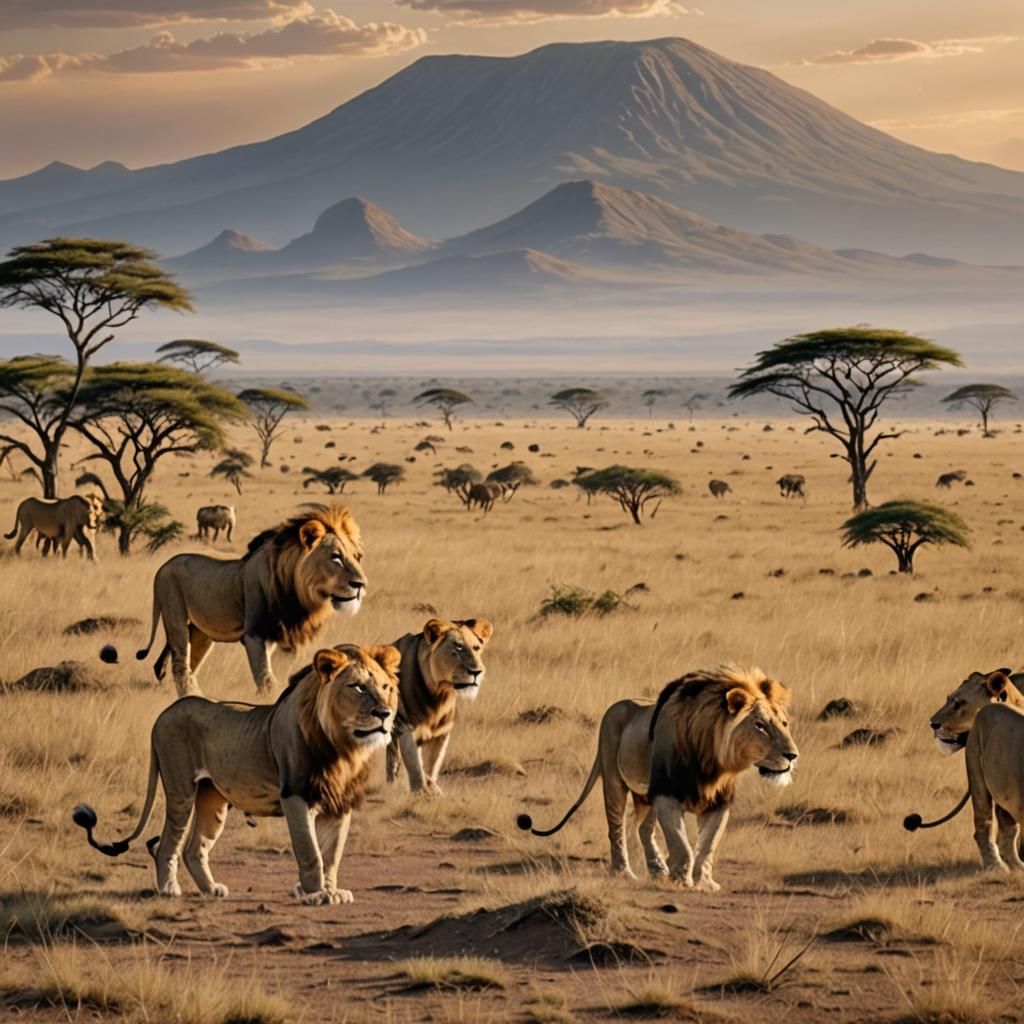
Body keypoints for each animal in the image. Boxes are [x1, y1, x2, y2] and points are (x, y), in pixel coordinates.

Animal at [73, 643, 399, 904]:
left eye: (385, 688)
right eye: (358, 687)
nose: (384, 714)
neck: (344, 748)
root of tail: (165, 713)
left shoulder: (338, 804)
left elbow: (331, 854)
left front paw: (332, 891)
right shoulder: (295, 796)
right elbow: (311, 852)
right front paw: (317, 894)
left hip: (212, 800)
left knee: (194, 849)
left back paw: (210, 889)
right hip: (181, 791)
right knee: (167, 844)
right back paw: (168, 889)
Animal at [137, 504, 367, 697]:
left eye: (357, 557)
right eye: (335, 557)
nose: (360, 585)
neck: (298, 596)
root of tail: (164, 565)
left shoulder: (288, 640)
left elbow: (284, 676)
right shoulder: (255, 634)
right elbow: (267, 679)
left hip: (200, 630)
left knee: (191, 663)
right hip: (174, 614)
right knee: (180, 663)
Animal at [386, 617, 493, 794]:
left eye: (476, 648)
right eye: (458, 647)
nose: (477, 672)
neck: (439, 693)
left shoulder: (442, 732)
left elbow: (432, 765)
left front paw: (432, 789)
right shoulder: (406, 727)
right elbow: (415, 764)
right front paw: (420, 792)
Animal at [517, 667, 798, 891]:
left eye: (784, 723)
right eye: (760, 725)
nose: (792, 755)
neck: (712, 763)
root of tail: (615, 706)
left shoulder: (718, 803)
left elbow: (708, 845)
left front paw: (704, 883)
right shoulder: (666, 795)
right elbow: (682, 845)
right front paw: (681, 879)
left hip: (645, 793)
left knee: (643, 828)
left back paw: (657, 868)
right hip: (615, 780)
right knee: (616, 829)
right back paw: (624, 872)